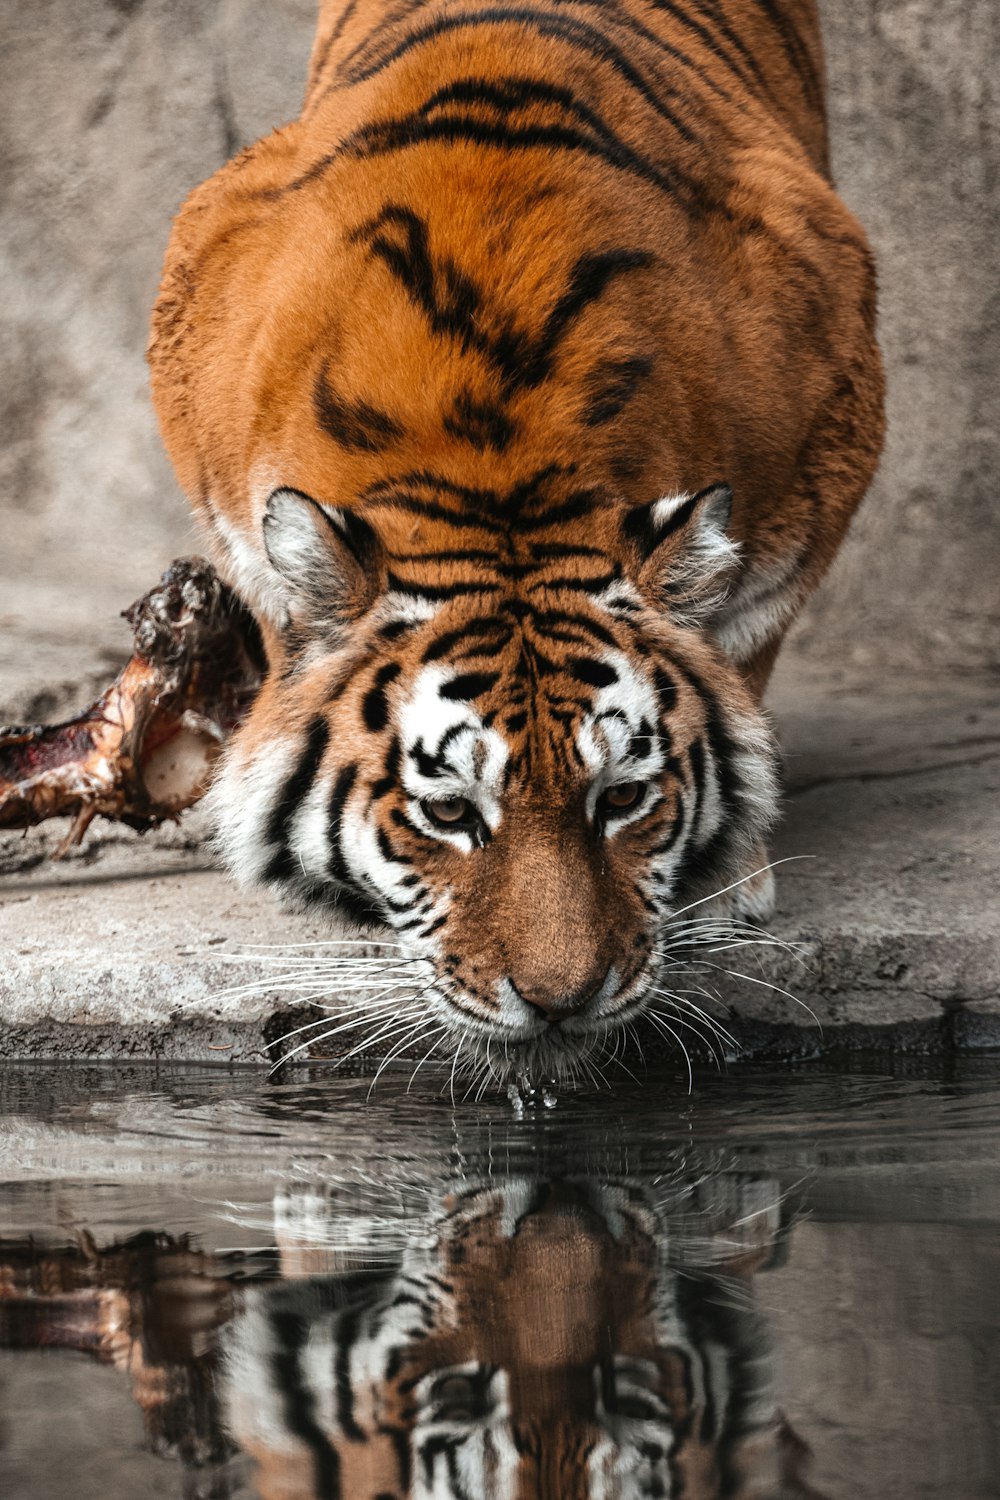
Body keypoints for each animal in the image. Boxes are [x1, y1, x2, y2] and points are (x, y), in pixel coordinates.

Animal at [148, 0, 881, 1080]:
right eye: (449, 812)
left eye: (623, 797)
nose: (560, 1003)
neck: (497, 475)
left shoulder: (823, 443)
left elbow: (741, 654)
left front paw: (724, 872)